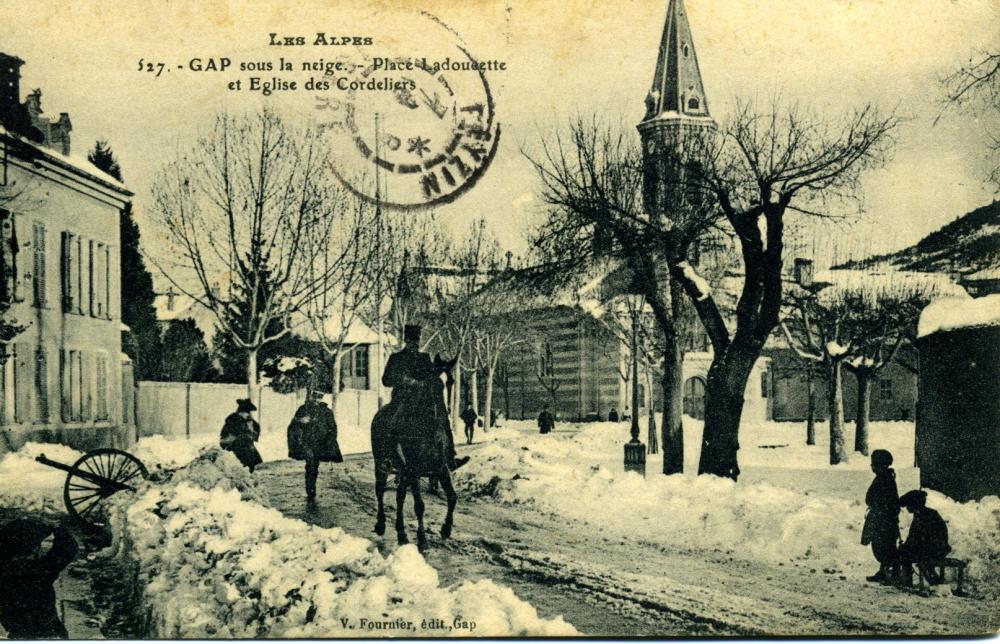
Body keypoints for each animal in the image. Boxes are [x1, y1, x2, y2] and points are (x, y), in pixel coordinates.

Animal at [370, 352, 458, 548]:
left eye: (450, 383)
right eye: (434, 383)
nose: (443, 413)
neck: (429, 428)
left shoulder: (440, 467)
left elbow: (452, 497)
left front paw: (446, 529)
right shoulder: (414, 469)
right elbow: (419, 505)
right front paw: (422, 539)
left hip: (404, 471)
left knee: (400, 495)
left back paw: (402, 533)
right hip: (382, 463)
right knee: (380, 489)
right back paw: (381, 525)